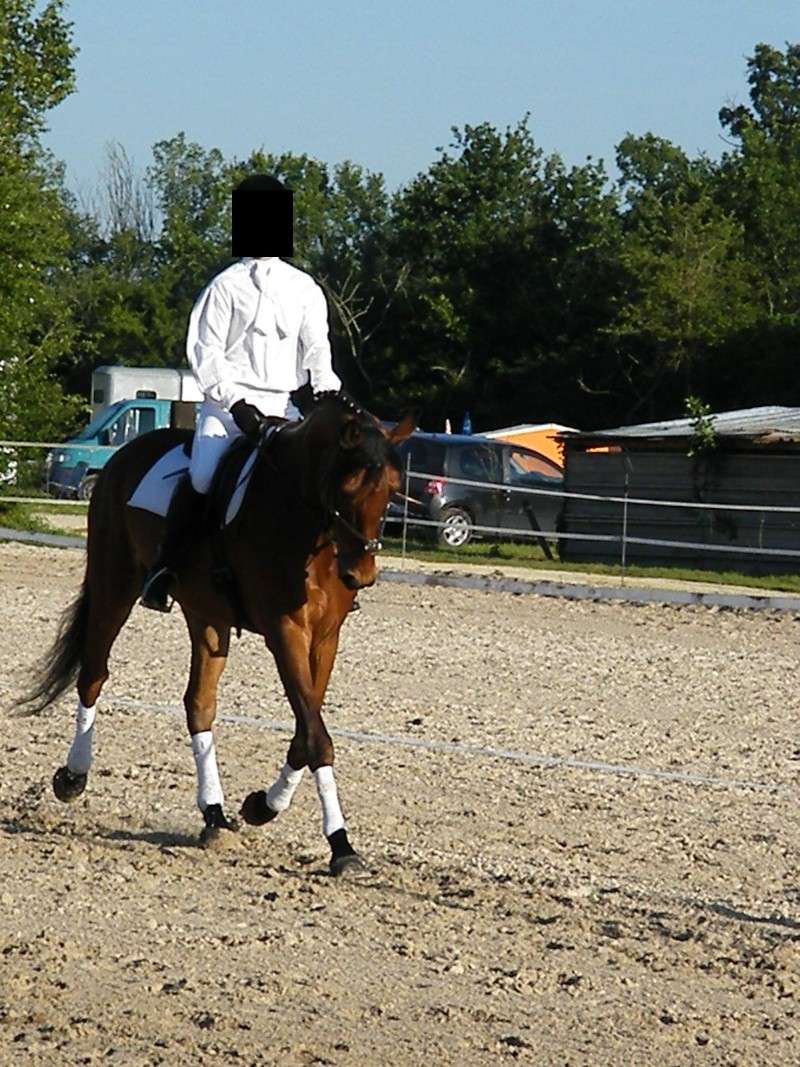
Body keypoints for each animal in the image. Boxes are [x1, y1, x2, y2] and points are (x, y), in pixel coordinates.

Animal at [23, 392, 413, 874]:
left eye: (392, 489)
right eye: (349, 485)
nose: (361, 574)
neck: (304, 520)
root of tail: (127, 452)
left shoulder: (325, 638)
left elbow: (305, 732)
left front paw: (261, 807)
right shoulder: (285, 632)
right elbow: (316, 737)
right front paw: (341, 846)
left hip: (206, 615)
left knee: (199, 705)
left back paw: (214, 813)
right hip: (115, 583)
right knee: (93, 675)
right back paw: (73, 777)